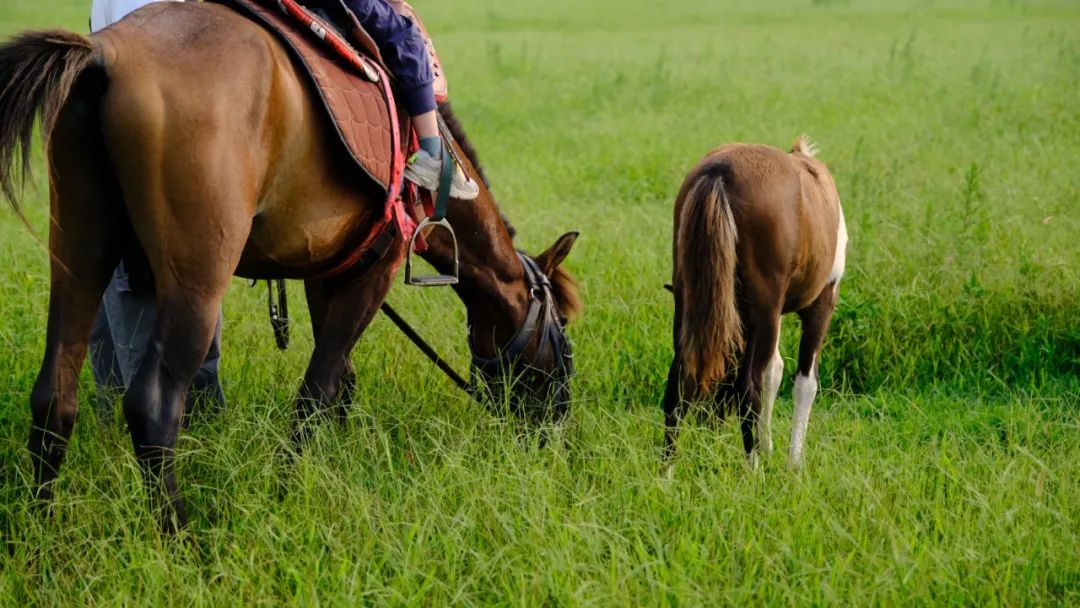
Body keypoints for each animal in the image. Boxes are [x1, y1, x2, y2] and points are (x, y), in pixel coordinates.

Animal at [0, 2, 583, 531]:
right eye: (561, 328)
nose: (557, 424)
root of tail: (106, 54)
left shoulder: (330, 271)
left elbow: (340, 380)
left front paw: (336, 459)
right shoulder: (378, 268)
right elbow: (319, 388)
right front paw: (286, 486)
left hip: (79, 253)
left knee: (54, 396)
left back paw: (40, 530)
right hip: (195, 283)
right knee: (153, 407)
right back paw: (183, 541)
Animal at [660, 138, 846, 468]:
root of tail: (719, 172)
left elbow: (773, 371)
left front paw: (768, 447)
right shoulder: (822, 303)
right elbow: (804, 383)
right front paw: (793, 464)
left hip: (691, 305)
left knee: (679, 385)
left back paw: (666, 472)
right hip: (765, 311)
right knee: (748, 387)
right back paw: (753, 469)